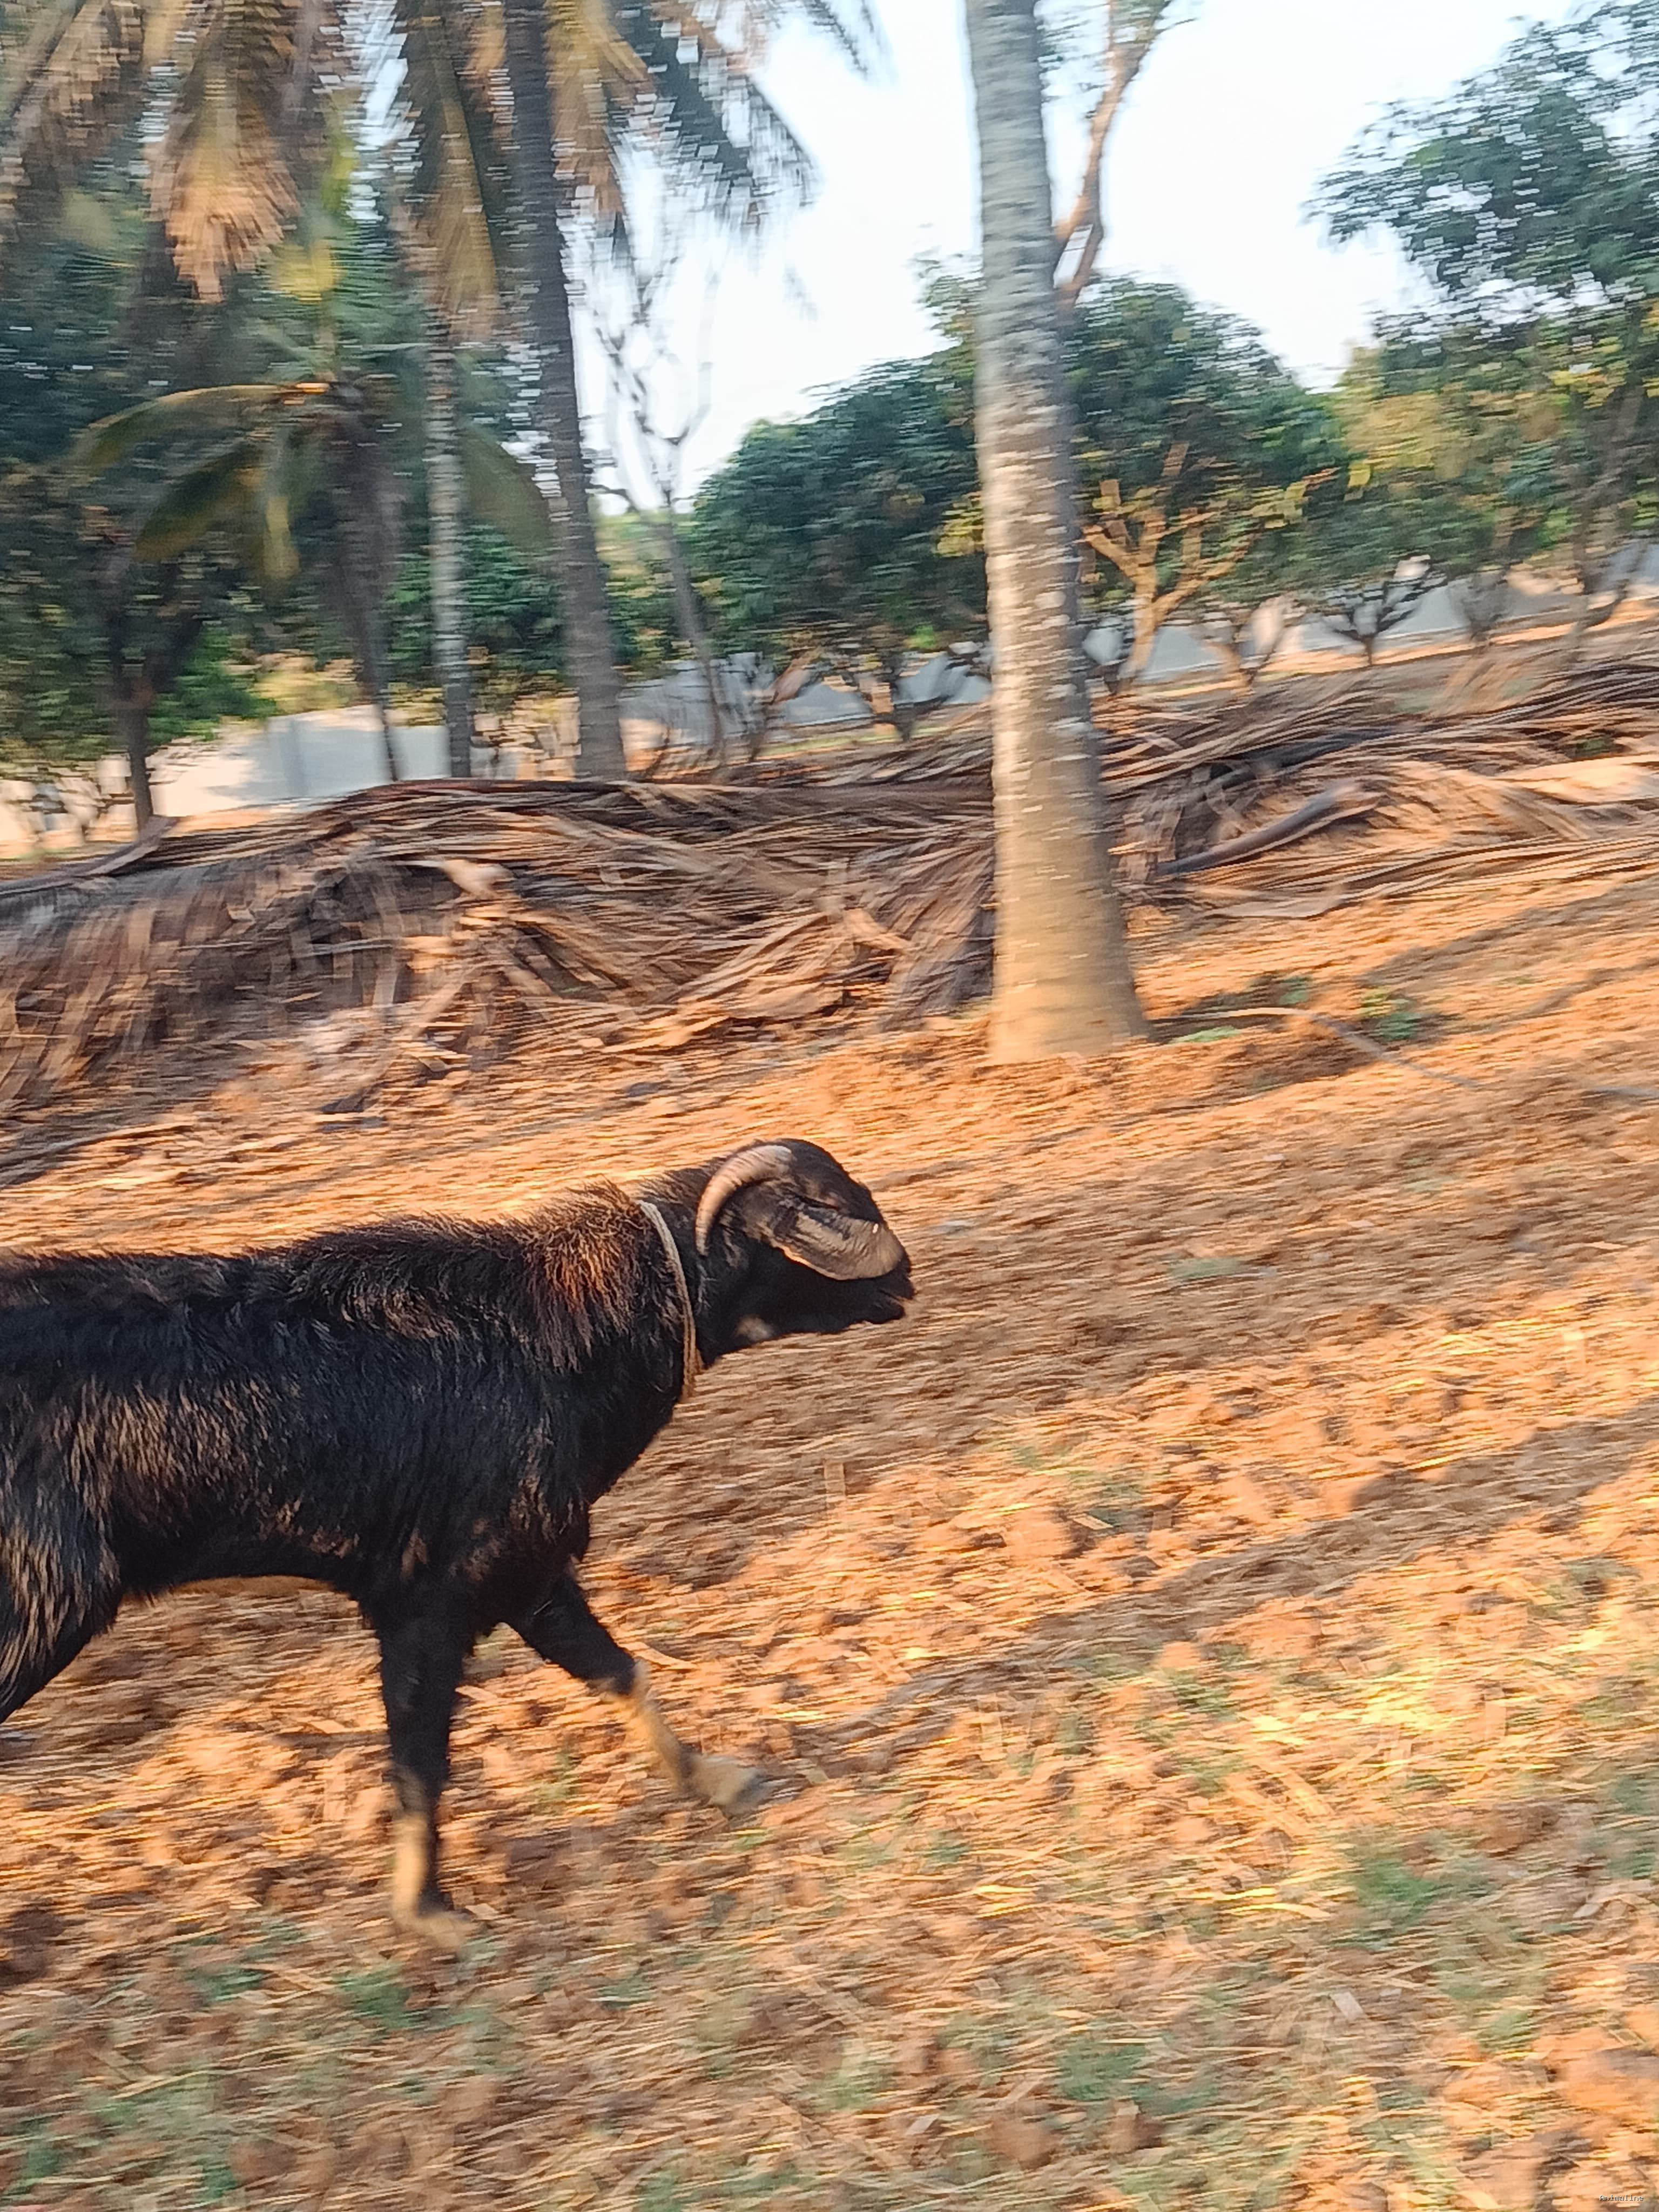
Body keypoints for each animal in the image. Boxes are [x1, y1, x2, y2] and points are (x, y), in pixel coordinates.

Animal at [0, 1137, 913, 1947]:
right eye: (831, 1202)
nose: (903, 1277)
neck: (566, 1334)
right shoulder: (434, 1596)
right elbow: (420, 1760)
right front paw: (431, 1915)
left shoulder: (529, 1574)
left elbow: (618, 1672)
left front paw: (715, 1778)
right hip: (41, 1610)